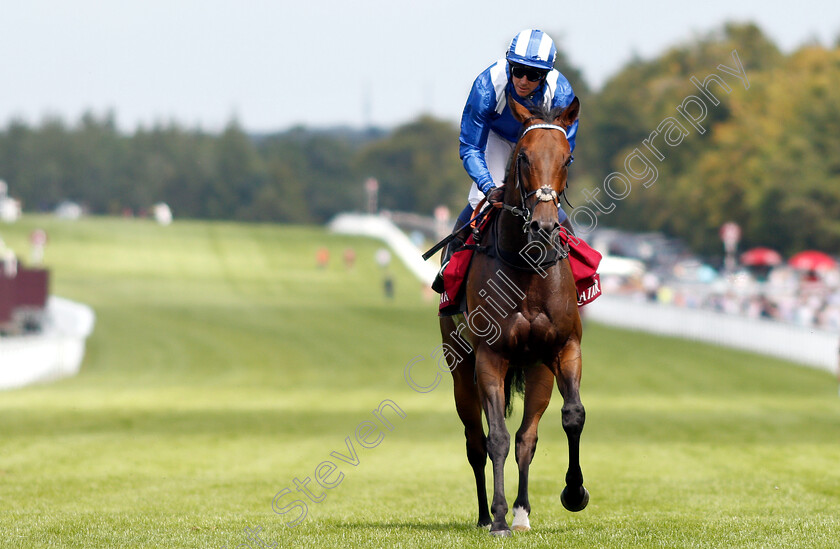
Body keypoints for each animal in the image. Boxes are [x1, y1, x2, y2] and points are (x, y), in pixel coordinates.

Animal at [442, 95, 588, 536]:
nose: (543, 226)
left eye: (567, 158)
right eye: (523, 157)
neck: (527, 268)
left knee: (528, 437)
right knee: (476, 441)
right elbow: (496, 439)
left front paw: (574, 493)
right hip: (460, 369)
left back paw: (523, 512)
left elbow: (572, 416)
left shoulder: (564, 347)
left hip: (538, 370)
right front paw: (498, 517)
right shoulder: (491, 357)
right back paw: (485, 515)